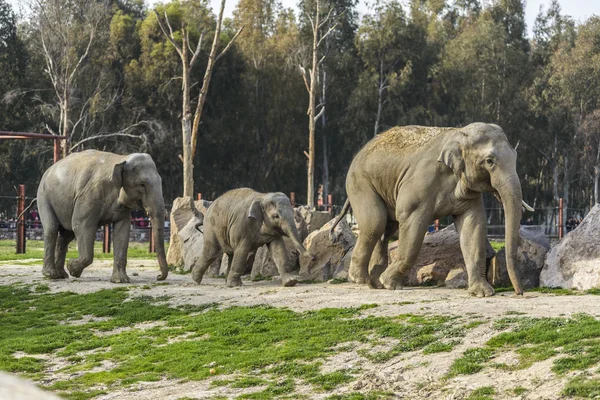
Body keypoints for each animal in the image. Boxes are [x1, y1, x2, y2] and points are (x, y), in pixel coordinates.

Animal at [37, 148, 169, 282]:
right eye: (142, 184)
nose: (158, 276)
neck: (121, 158)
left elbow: (123, 231)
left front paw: (120, 280)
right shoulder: (89, 195)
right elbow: (81, 225)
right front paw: (73, 269)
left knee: (66, 236)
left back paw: (61, 275)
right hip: (43, 196)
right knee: (52, 228)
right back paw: (51, 274)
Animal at [330, 123, 532, 296]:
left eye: (515, 157)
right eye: (489, 161)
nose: (519, 293)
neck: (458, 134)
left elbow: (472, 226)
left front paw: (482, 293)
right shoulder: (421, 183)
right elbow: (412, 223)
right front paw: (390, 283)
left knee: (387, 229)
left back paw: (375, 283)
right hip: (360, 182)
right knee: (375, 223)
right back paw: (360, 279)